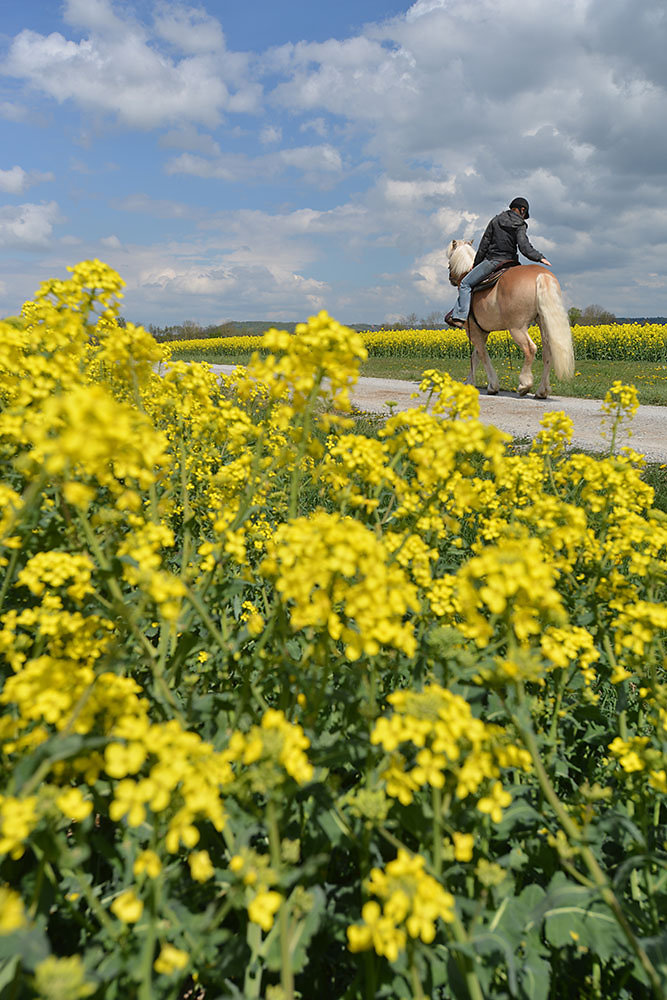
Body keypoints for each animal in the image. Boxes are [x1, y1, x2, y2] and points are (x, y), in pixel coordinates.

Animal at [446, 238, 576, 398]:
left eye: (449, 260)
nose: (451, 278)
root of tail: (541, 275)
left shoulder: (473, 331)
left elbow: (482, 355)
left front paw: (492, 385)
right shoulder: (483, 332)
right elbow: (475, 355)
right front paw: (469, 382)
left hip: (517, 328)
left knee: (530, 349)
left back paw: (524, 384)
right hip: (543, 323)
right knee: (548, 352)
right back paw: (541, 391)